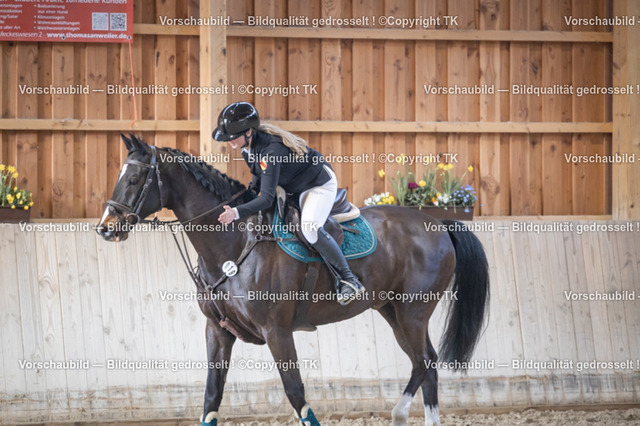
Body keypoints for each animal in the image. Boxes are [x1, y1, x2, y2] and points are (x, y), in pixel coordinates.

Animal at [96, 134, 489, 426]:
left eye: (134, 179)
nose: (106, 228)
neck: (234, 242)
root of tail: (437, 223)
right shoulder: (218, 331)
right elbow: (211, 396)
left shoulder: (277, 331)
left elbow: (296, 394)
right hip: (391, 311)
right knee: (426, 365)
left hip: (413, 312)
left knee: (424, 361)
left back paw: (399, 411)